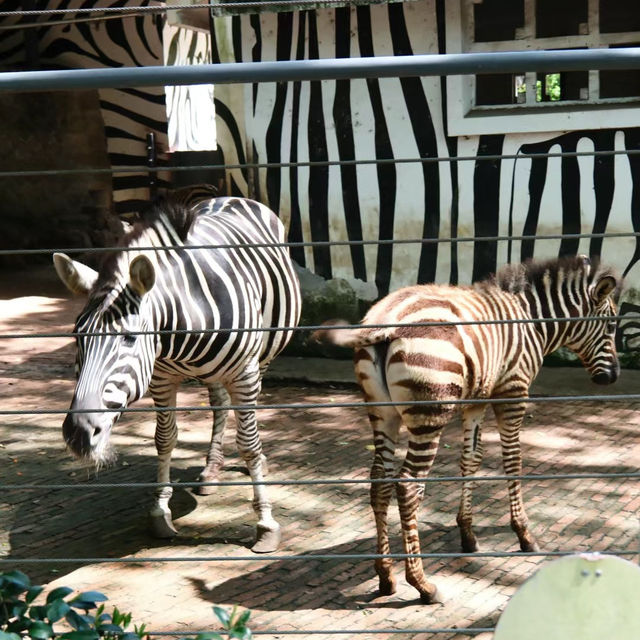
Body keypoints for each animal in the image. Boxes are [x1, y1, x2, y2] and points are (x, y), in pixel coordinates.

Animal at [53, 194, 302, 552]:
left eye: (130, 338)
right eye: (77, 337)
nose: (78, 434)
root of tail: (232, 196)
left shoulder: (244, 372)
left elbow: (248, 443)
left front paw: (265, 522)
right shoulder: (160, 378)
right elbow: (164, 438)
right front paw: (160, 511)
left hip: (264, 356)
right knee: (219, 405)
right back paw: (211, 469)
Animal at [312, 256, 624, 604]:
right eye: (611, 327)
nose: (612, 377)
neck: (531, 320)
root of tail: (384, 318)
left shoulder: (477, 399)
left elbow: (470, 460)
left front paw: (468, 534)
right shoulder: (513, 392)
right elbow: (512, 461)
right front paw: (524, 533)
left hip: (382, 411)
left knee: (379, 479)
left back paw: (385, 577)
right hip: (429, 413)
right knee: (408, 485)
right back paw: (422, 584)